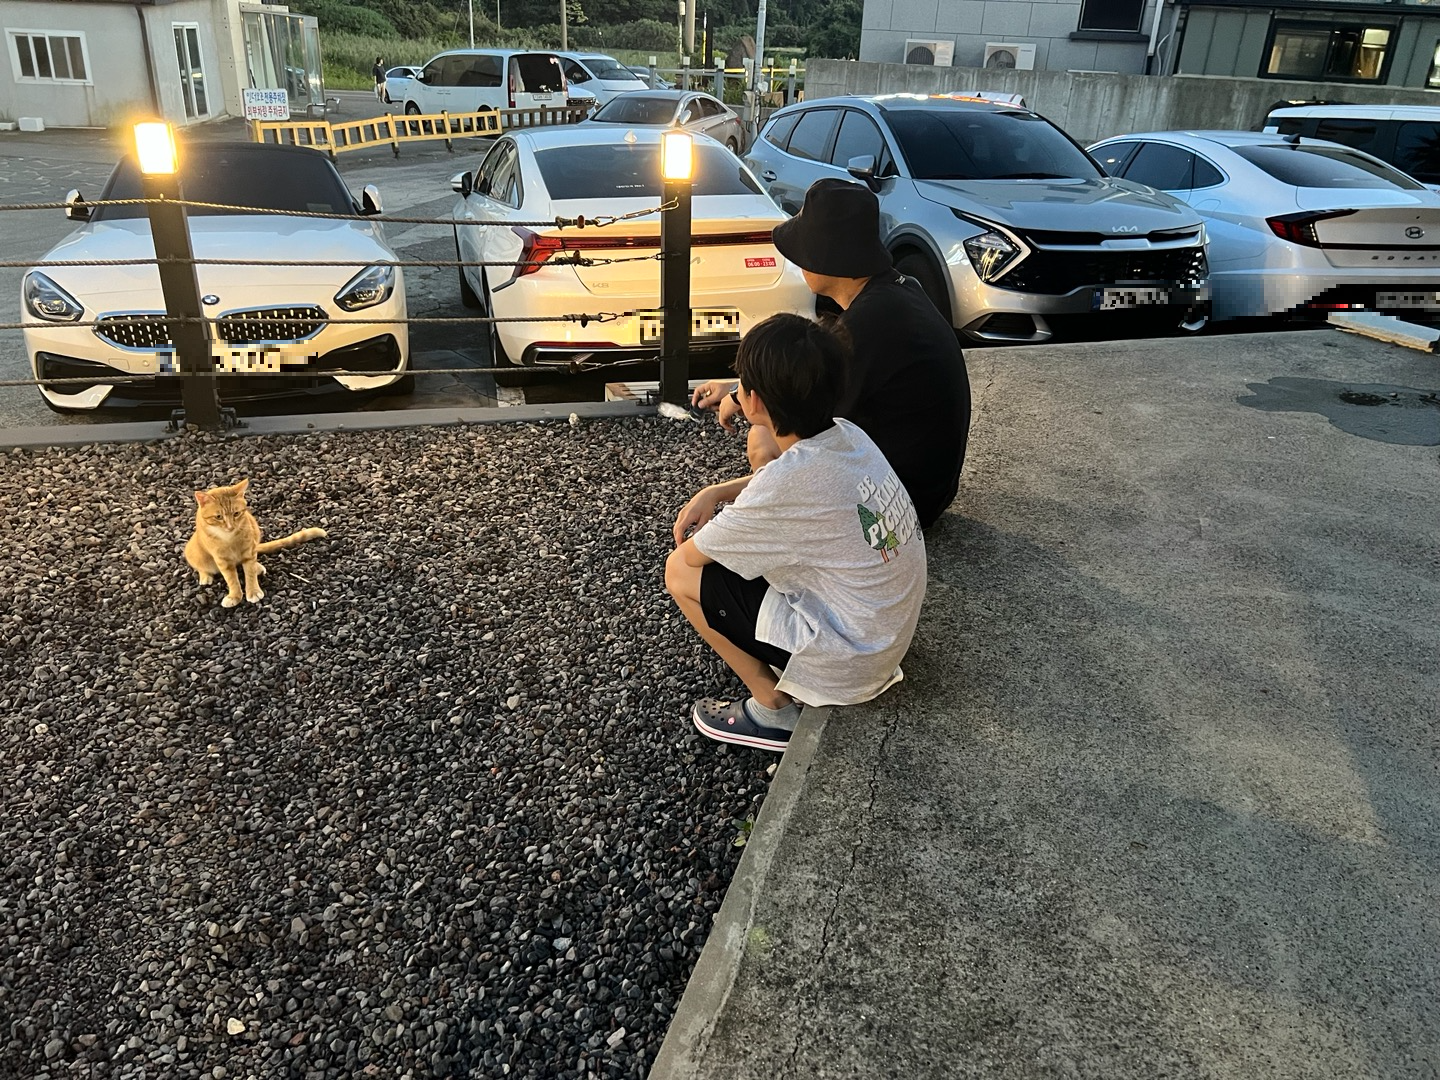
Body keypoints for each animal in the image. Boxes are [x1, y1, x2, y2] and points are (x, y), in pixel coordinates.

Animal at [183, 479, 326, 608]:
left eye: (236, 514)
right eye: (218, 517)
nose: (230, 526)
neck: (229, 538)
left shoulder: (249, 551)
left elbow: (250, 572)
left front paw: (253, 591)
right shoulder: (222, 561)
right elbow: (231, 579)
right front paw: (235, 596)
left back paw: (258, 567)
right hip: (195, 553)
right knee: (200, 567)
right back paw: (205, 576)